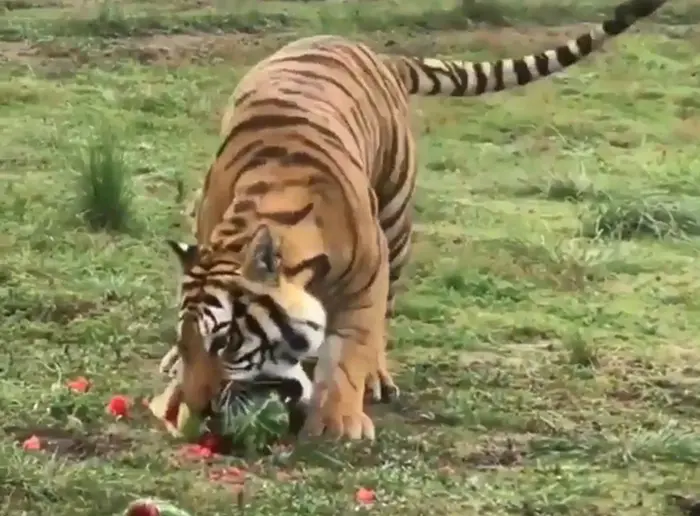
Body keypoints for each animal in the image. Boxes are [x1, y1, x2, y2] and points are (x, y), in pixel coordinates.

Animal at [160, 0, 668, 444]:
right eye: (189, 342)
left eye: (227, 342)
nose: (199, 407)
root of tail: (378, 55)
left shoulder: (367, 277)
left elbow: (349, 352)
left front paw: (338, 421)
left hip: (396, 225)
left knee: (382, 317)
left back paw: (377, 378)